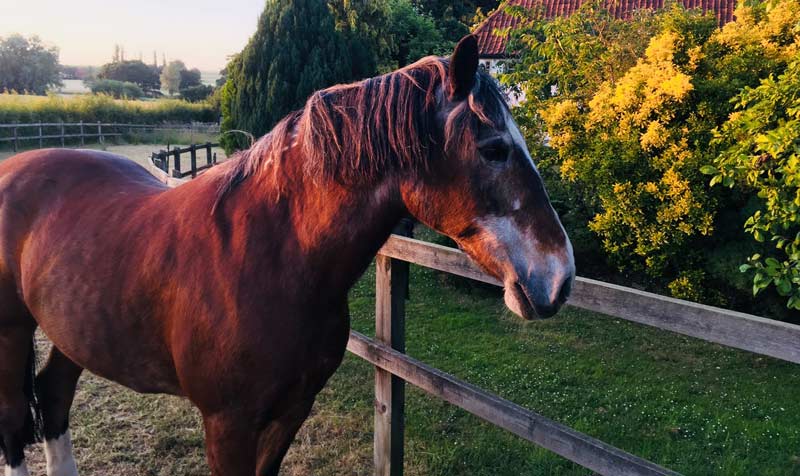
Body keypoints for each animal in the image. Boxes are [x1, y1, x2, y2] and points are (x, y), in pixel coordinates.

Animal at [0, 35, 574, 476]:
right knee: (13, 423)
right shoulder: (227, 424)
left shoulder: (291, 411)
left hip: (75, 329)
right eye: (494, 149)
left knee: (53, 398)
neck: (271, 258)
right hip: (12, 333)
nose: (560, 277)